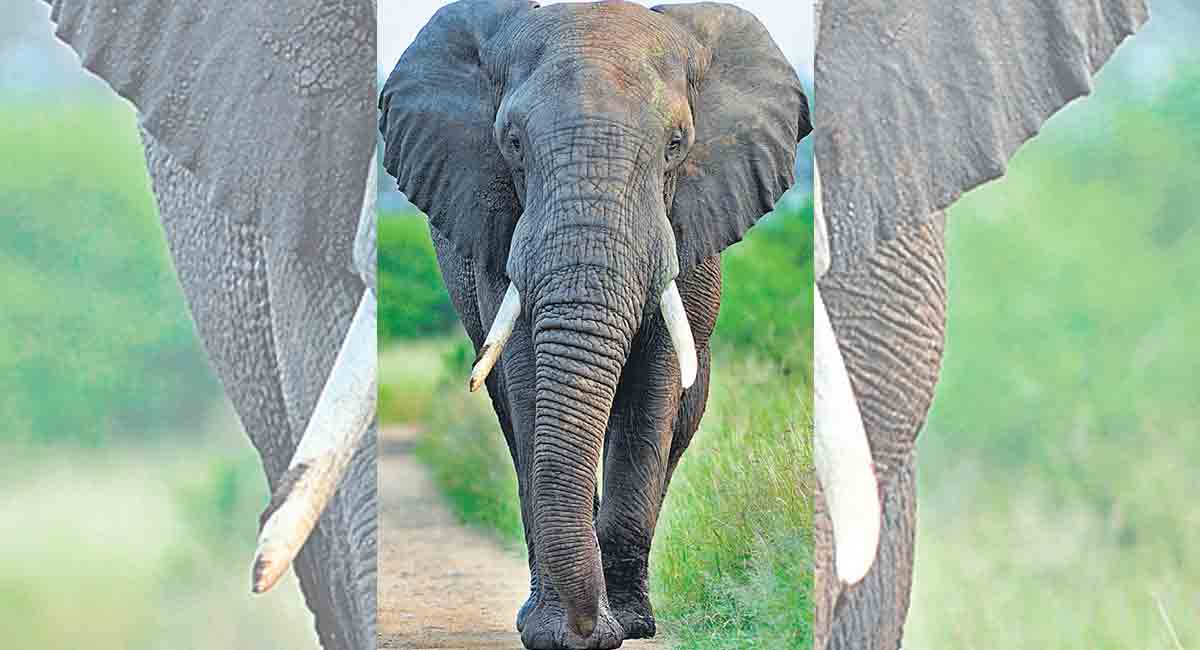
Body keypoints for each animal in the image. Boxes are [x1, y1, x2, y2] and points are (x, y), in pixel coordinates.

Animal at [379, 1, 808, 648]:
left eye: (676, 144)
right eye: (511, 142)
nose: (588, 630)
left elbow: (652, 391)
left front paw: (626, 625)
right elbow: (529, 377)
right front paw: (561, 633)